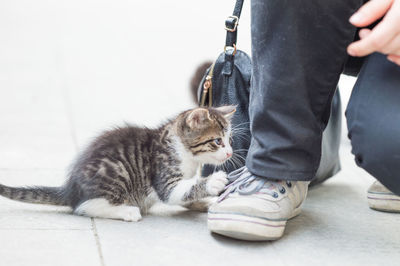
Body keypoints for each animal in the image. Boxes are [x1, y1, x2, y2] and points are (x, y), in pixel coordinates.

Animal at [0, 105, 234, 220]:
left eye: (229, 139)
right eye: (217, 141)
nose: (230, 153)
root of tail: (70, 189)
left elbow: (186, 191)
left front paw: (206, 202)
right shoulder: (164, 173)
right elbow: (177, 191)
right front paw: (213, 182)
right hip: (116, 173)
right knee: (84, 207)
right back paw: (126, 211)